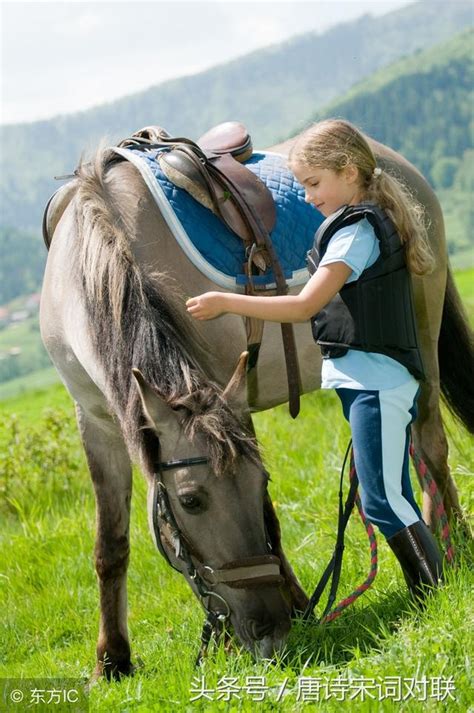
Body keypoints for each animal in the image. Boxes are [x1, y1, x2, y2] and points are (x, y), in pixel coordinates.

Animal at [40, 128, 474, 680]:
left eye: (260, 482)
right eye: (190, 501)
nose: (267, 631)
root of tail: (391, 161)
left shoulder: (230, 394)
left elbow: (269, 522)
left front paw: (292, 609)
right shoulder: (97, 421)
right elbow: (110, 544)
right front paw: (112, 660)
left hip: (424, 334)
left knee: (432, 447)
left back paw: (458, 548)